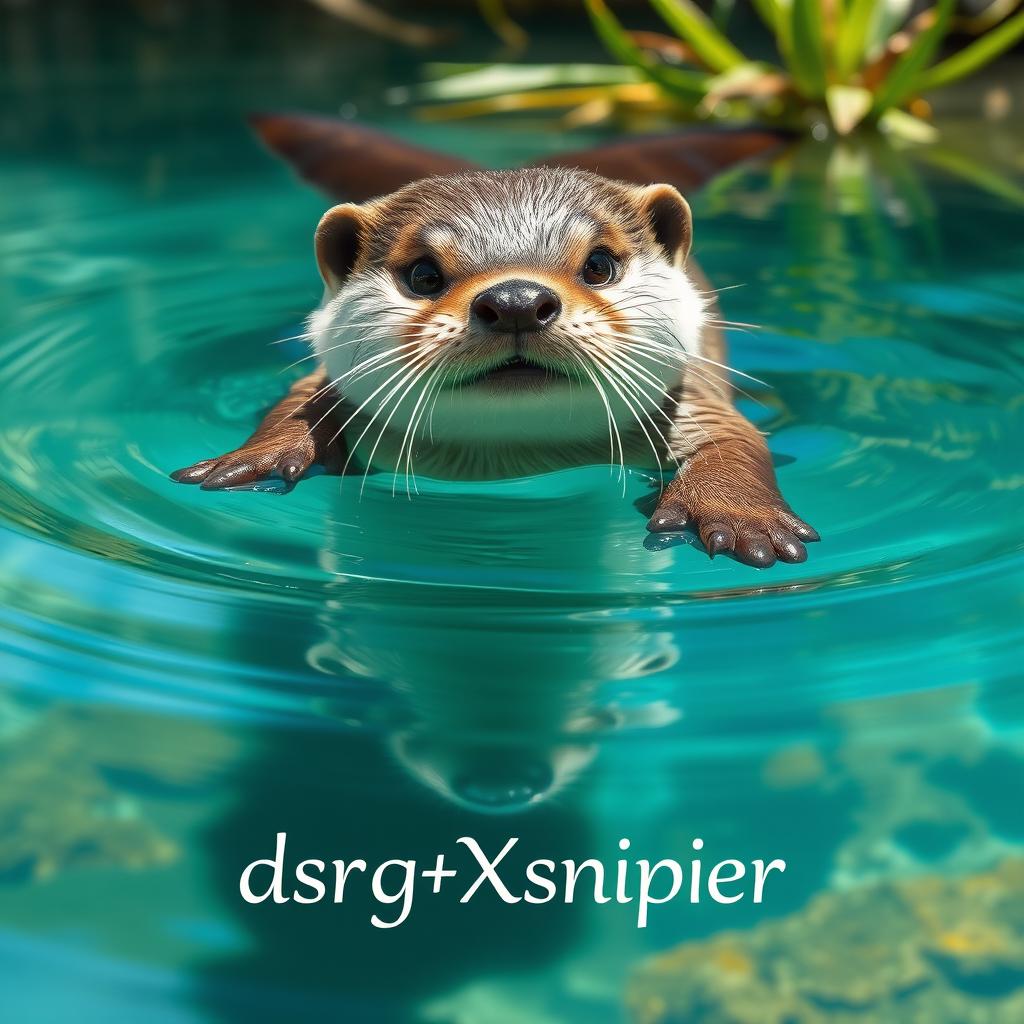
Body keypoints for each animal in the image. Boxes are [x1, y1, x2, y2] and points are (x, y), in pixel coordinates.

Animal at [172, 123, 817, 567]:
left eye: (599, 265)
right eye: (424, 275)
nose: (515, 301)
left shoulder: (693, 399)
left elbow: (736, 443)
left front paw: (738, 515)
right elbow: (295, 405)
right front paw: (253, 457)